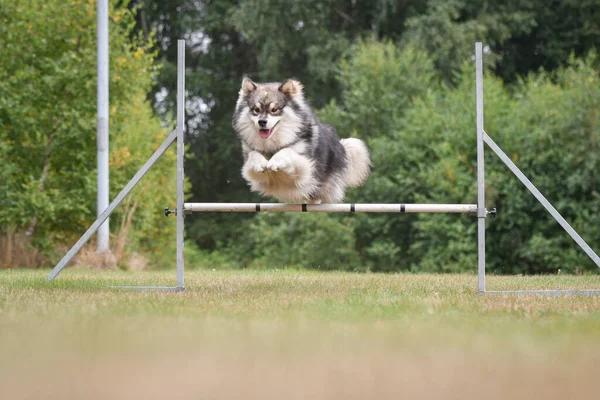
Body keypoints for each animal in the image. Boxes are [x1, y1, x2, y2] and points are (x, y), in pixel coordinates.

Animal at [231, 77, 368, 203]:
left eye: (274, 109)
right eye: (256, 110)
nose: (262, 122)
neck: (272, 146)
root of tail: (340, 146)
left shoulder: (305, 169)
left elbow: (288, 151)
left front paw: (275, 161)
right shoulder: (255, 174)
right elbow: (253, 154)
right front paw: (260, 162)